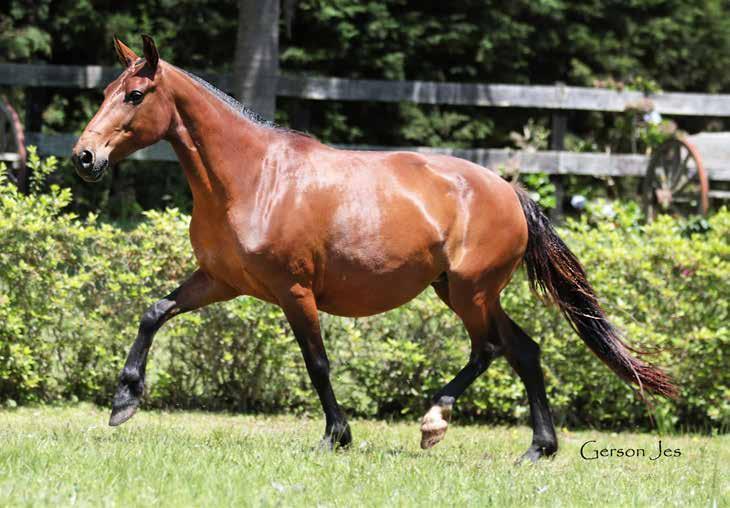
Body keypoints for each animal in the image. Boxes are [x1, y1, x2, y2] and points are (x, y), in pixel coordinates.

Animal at [71, 36, 672, 464]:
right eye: (103, 94)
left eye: (135, 95)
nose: (84, 157)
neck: (253, 178)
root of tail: (511, 191)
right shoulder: (221, 280)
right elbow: (153, 312)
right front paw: (124, 402)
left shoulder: (294, 291)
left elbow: (316, 362)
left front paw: (336, 436)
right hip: (462, 291)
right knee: (523, 350)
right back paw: (536, 449)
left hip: (471, 293)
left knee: (490, 350)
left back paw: (435, 423)